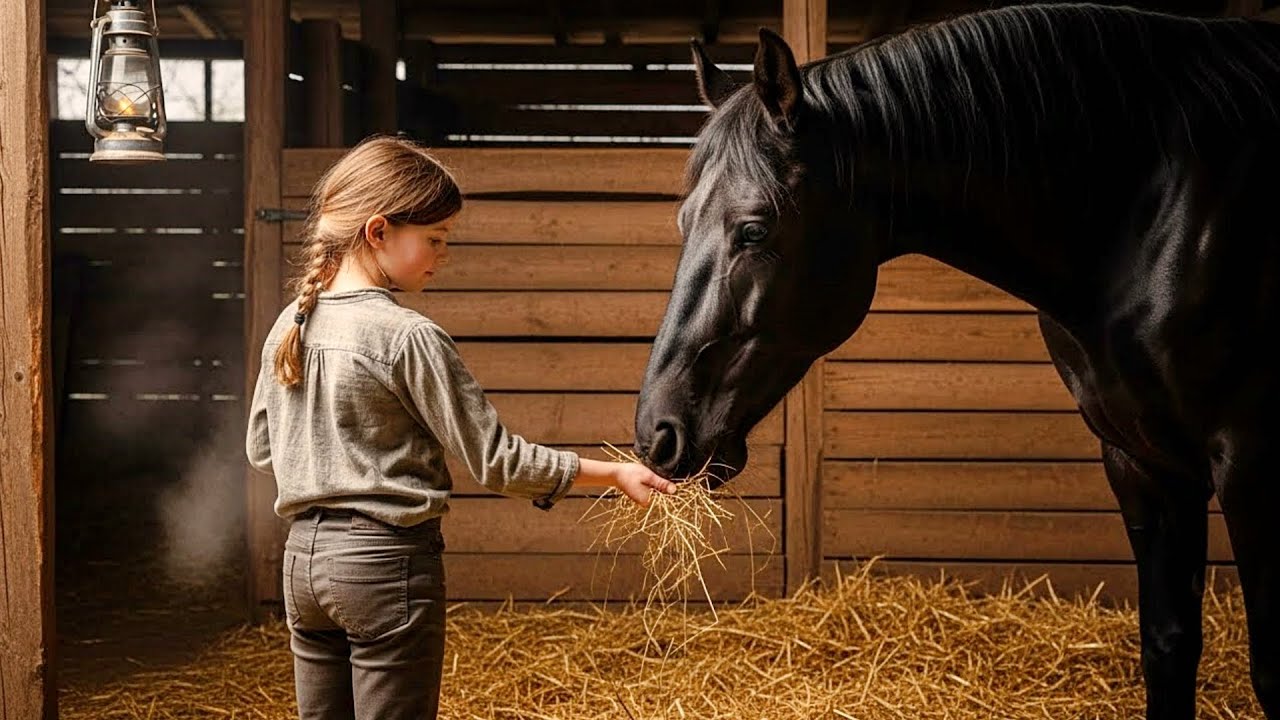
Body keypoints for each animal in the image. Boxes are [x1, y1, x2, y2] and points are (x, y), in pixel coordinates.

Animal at [632, 5, 1280, 718]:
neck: (1147, 209)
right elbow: (1168, 645)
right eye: (684, 221)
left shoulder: (1253, 464)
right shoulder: (1141, 460)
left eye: (753, 229)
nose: (657, 434)